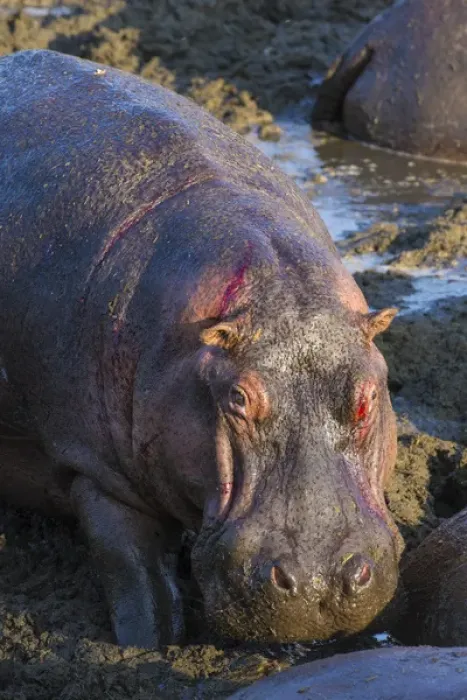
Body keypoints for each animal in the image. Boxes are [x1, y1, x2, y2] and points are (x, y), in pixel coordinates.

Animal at [0, 49, 401, 649]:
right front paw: (147, 649)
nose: (319, 582)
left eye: (368, 398)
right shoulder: (96, 472)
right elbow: (137, 577)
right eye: (237, 399)